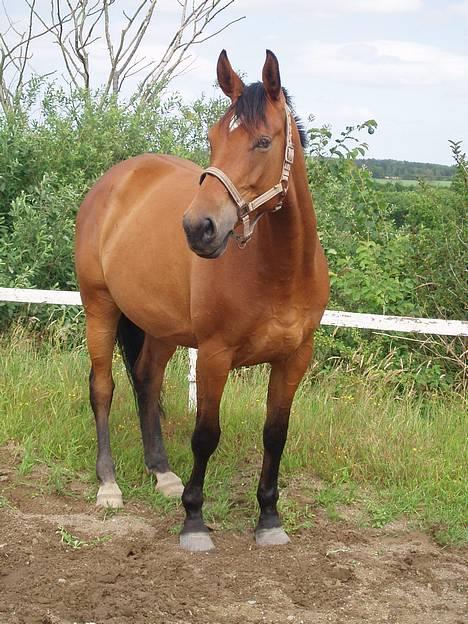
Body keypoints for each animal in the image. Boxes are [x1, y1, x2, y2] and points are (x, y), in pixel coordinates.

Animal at [75, 51, 330, 552]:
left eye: (263, 141)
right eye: (213, 138)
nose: (198, 228)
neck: (281, 271)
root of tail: (112, 182)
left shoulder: (295, 358)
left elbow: (275, 435)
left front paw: (269, 518)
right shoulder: (214, 356)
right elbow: (205, 435)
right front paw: (193, 520)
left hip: (161, 327)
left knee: (146, 380)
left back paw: (162, 473)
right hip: (100, 306)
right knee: (104, 389)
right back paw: (108, 485)